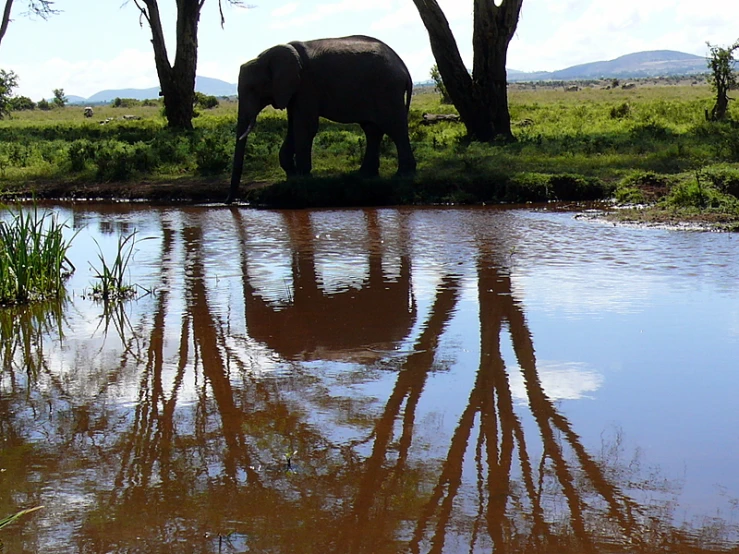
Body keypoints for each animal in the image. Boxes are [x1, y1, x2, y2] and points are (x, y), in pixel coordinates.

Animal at [227, 35, 416, 203]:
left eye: (252, 89)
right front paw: (292, 177)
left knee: (395, 128)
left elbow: (305, 126)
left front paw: (303, 179)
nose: (229, 201)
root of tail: (405, 69)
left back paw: (402, 176)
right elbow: (293, 125)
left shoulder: (307, 85)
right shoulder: (293, 91)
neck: (267, 56)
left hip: (387, 89)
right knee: (372, 130)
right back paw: (364, 175)